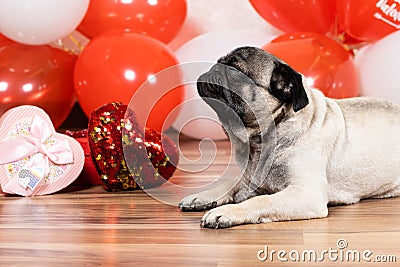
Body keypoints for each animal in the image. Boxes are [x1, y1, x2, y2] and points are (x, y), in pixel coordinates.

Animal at [179, 46, 400, 230]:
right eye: (219, 61)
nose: (214, 68)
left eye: (235, 71)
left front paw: (226, 212)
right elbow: (230, 184)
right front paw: (202, 197)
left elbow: (261, 200)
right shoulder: (248, 178)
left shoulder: (305, 193)